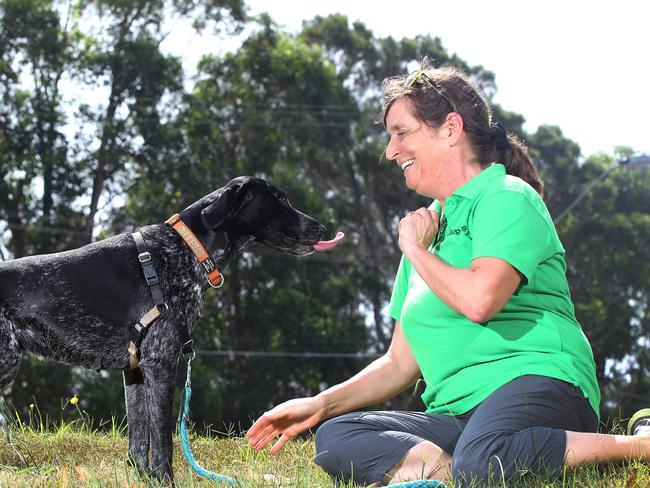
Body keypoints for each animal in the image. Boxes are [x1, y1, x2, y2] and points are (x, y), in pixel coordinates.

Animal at [0, 175, 324, 480]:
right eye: (279, 199)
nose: (322, 228)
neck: (187, 248)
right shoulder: (161, 362)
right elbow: (163, 442)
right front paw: (165, 479)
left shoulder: (134, 372)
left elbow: (139, 444)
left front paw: (145, 479)